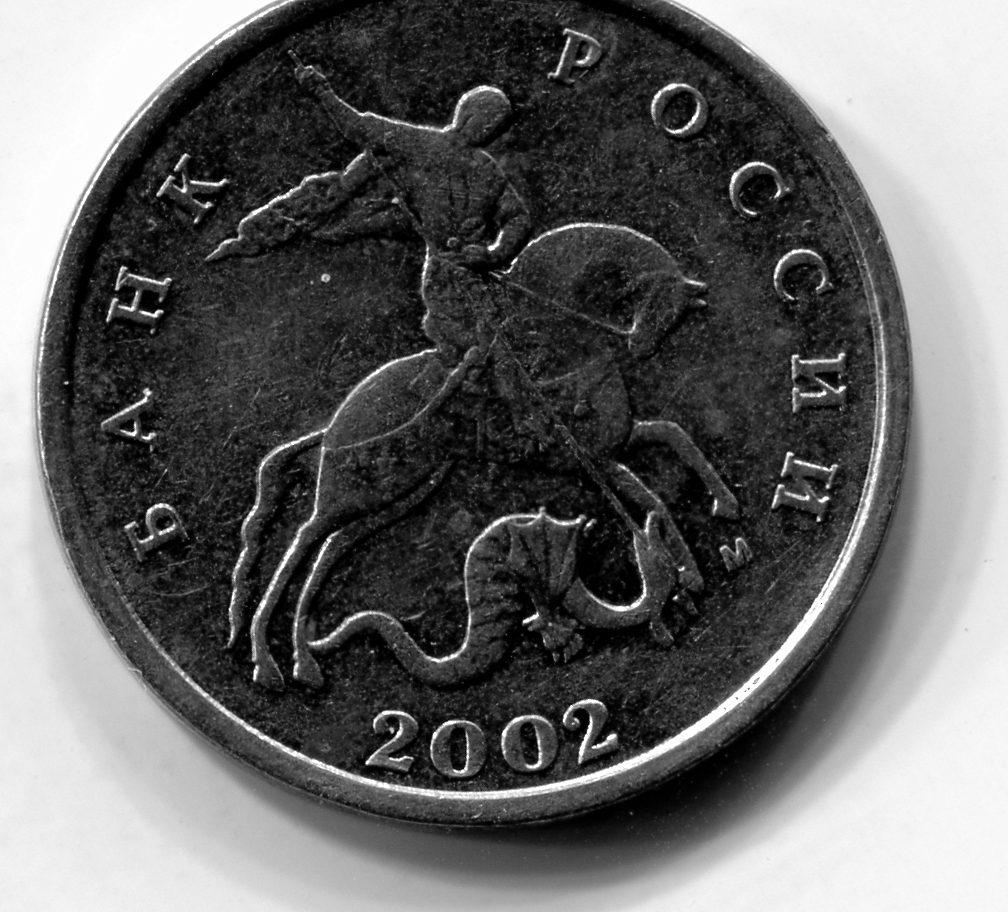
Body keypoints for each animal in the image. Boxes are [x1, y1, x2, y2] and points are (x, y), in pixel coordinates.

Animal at [227, 222, 739, 690]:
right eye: (663, 304)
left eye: (675, 314)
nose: (642, 347)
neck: (562, 342)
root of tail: (335, 424)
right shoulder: (592, 458)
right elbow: (655, 493)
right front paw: (686, 572)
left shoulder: (615, 444)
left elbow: (673, 443)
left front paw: (703, 546)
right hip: (350, 492)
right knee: (302, 541)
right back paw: (268, 660)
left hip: (399, 494)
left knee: (330, 549)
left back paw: (305, 657)